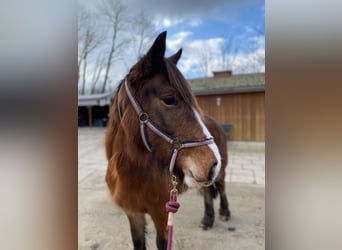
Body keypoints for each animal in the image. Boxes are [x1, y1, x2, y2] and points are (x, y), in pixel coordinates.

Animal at [104, 31, 230, 250]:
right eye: (169, 99)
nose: (212, 163)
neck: (134, 171)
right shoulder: (133, 214)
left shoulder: (162, 214)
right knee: (207, 193)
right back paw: (207, 220)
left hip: (219, 173)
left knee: (221, 188)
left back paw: (224, 213)